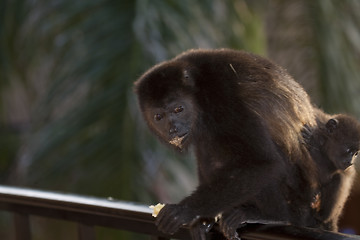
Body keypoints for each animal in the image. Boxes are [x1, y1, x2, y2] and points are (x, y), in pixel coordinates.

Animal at [134, 48, 320, 238]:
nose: (172, 129)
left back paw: (272, 216)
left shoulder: (225, 99)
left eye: (179, 109)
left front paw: (184, 210)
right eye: (158, 117)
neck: (199, 91)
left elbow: (263, 162)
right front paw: (203, 219)